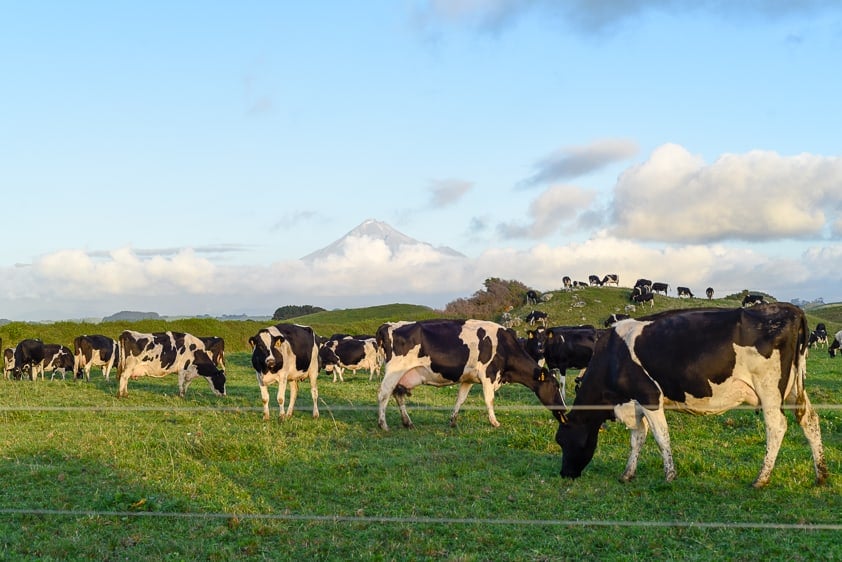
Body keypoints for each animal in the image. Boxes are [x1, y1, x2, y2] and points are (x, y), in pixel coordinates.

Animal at [376, 320, 564, 428]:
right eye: (555, 386)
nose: (564, 410)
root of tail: (388, 325)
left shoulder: (469, 379)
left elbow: (460, 399)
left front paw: (453, 420)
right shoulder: (489, 375)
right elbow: (489, 400)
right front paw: (494, 422)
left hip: (404, 376)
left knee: (397, 394)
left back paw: (407, 422)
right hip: (394, 371)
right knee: (383, 394)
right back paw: (383, 424)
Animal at [556, 302, 824, 486]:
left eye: (561, 440)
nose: (564, 474)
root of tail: (791, 308)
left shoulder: (649, 396)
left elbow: (660, 436)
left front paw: (669, 476)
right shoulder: (634, 402)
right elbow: (637, 438)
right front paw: (627, 474)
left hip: (769, 389)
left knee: (776, 426)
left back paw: (761, 478)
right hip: (792, 388)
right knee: (809, 420)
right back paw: (821, 474)